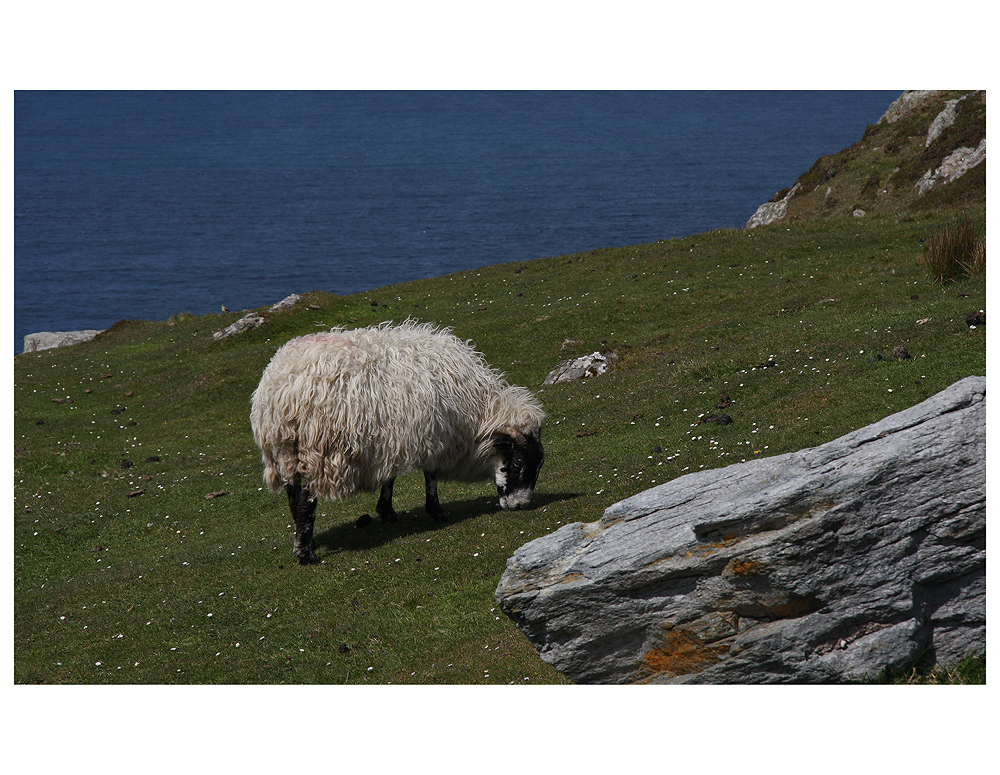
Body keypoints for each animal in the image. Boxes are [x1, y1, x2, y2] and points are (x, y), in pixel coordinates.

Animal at [250, 318, 548, 568]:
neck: (475, 412)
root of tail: (283, 387)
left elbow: (389, 478)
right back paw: (306, 554)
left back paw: (305, 539)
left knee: (292, 497)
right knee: (305, 501)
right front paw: (436, 511)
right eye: (518, 462)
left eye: (539, 465)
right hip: (319, 449)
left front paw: (387, 511)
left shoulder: (392, 439)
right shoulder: (432, 435)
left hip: (284, 448)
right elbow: (430, 476)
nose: (520, 505)